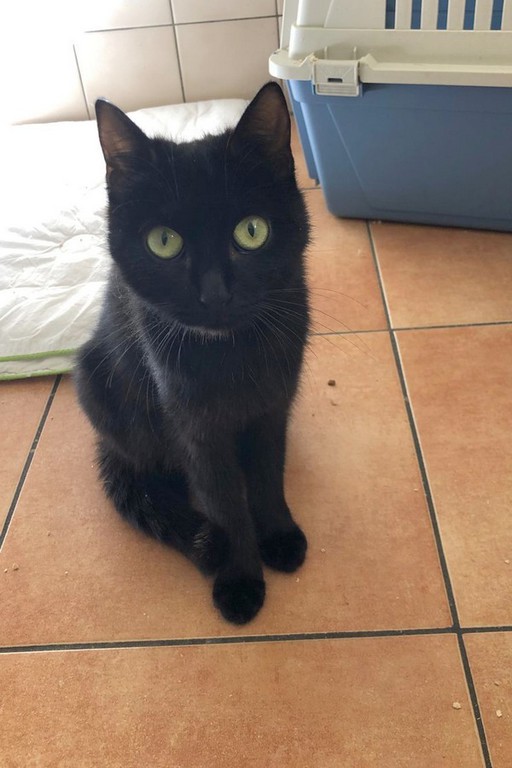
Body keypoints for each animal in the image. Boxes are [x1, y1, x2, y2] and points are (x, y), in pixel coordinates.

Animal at [75, 82, 310, 624]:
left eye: (251, 231)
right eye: (163, 242)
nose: (215, 293)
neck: (233, 356)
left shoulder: (274, 407)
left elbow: (267, 474)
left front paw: (278, 534)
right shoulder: (195, 429)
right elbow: (224, 501)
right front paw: (240, 579)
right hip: (97, 387)